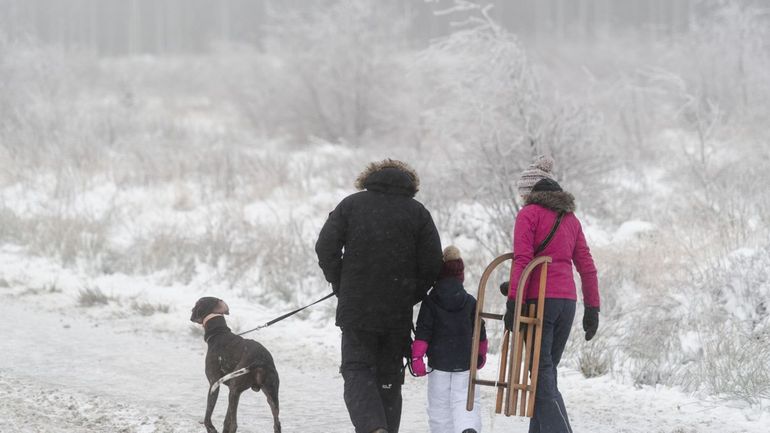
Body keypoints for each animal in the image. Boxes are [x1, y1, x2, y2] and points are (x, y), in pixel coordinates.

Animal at [190, 296, 280, 432]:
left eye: (197, 303)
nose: (191, 311)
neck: (219, 333)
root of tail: (261, 360)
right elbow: (226, 421)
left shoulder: (213, 384)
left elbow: (208, 418)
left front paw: (211, 428)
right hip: (270, 395)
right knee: (277, 424)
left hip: (233, 390)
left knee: (234, 424)